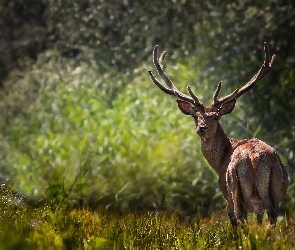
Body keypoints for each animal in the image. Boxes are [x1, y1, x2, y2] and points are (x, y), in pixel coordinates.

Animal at [148, 42, 290, 229]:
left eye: (215, 116)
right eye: (195, 116)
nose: (202, 128)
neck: (220, 161)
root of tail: (253, 158)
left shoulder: (224, 189)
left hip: (234, 190)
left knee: (239, 219)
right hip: (273, 193)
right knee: (271, 221)